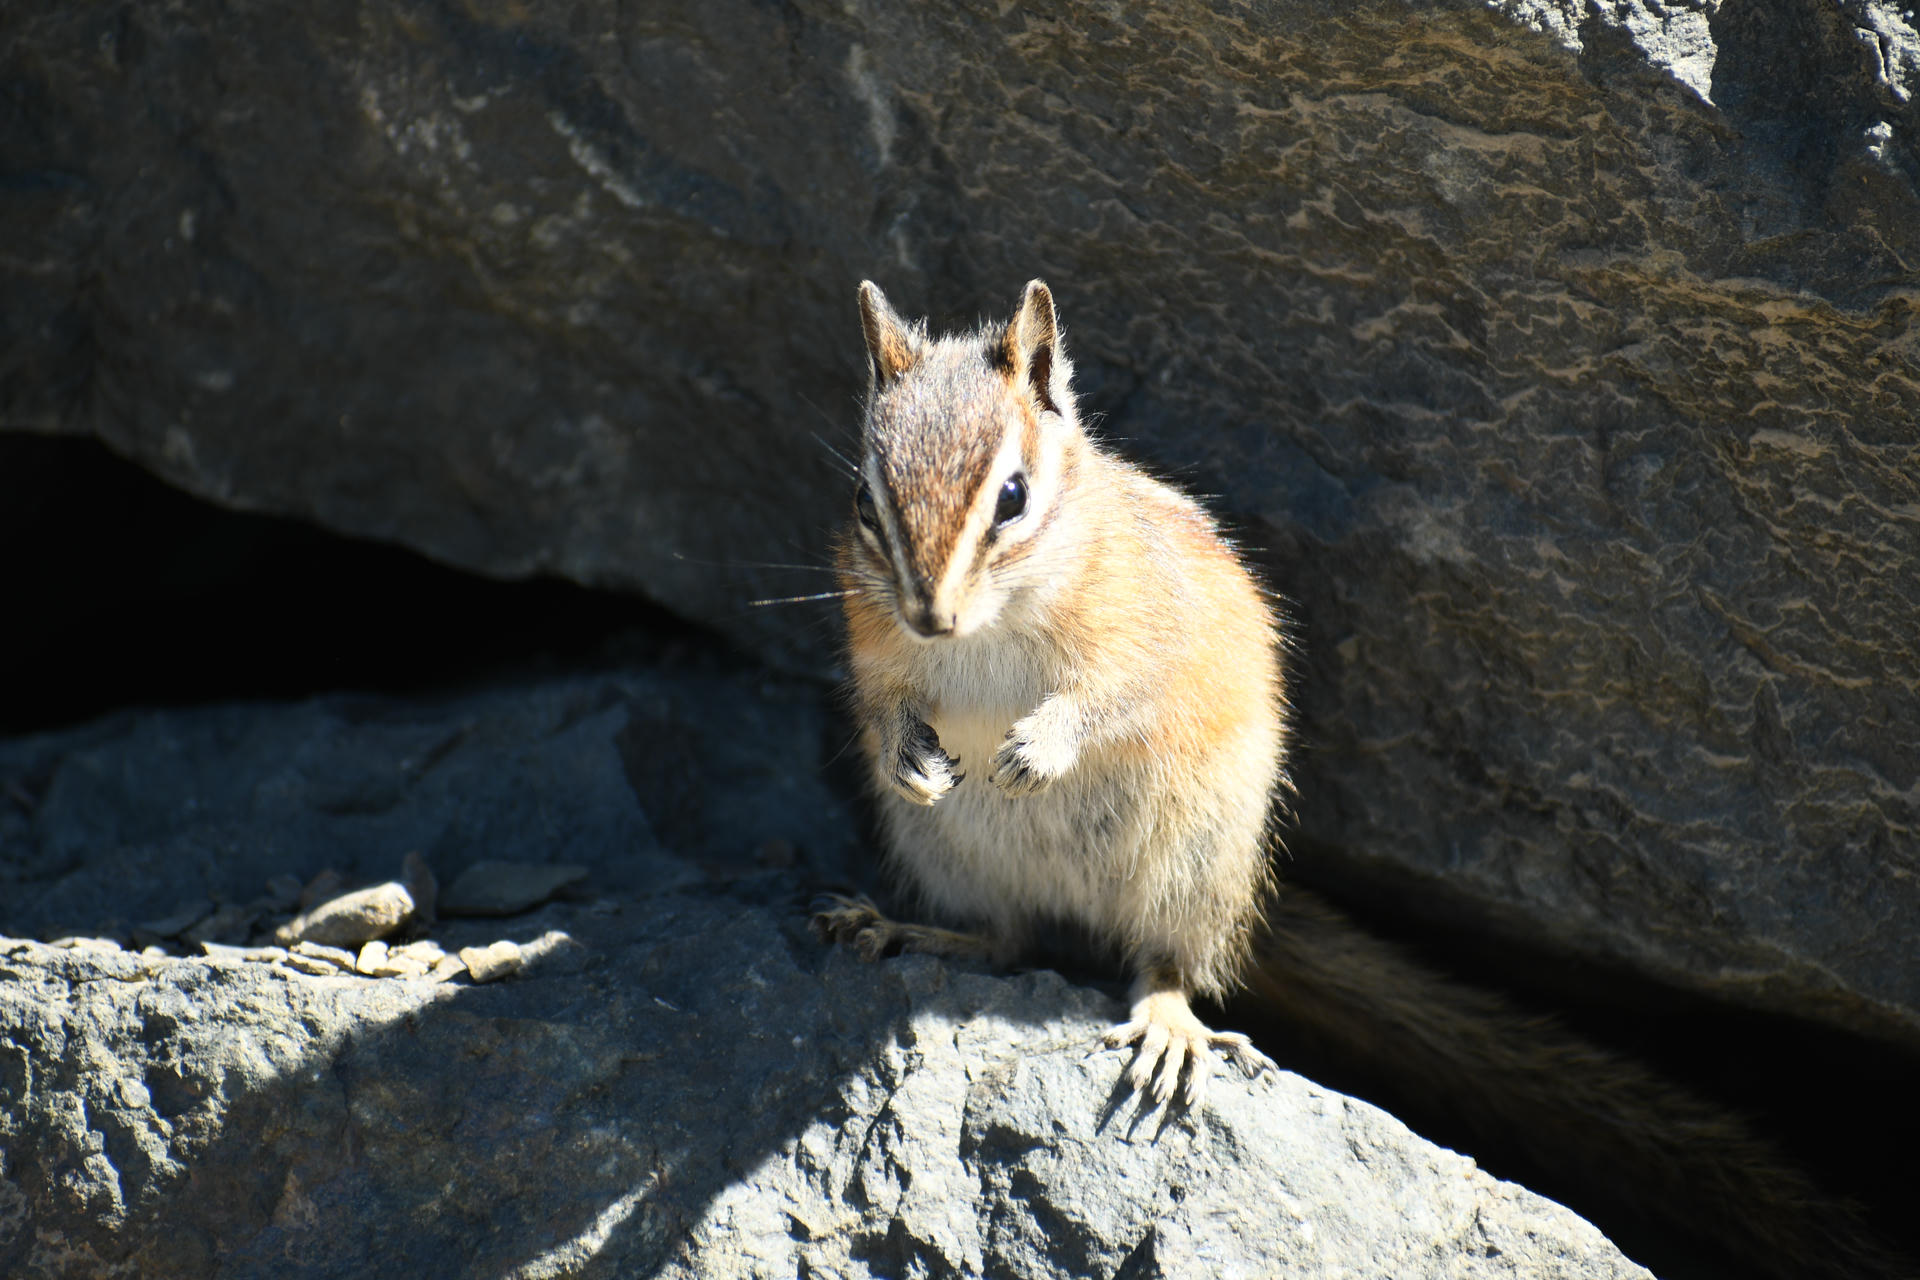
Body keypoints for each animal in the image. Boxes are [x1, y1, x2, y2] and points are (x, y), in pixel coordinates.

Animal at [811, 280, 1912, 1280]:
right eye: (865, 501)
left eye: (1011, 497)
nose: (930, 616)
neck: (987, 630)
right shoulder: (877, 650)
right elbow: (886, 702)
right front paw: (913, 757)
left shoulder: (1147, 635)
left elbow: (1115, 697)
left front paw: (1037, 749)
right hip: (957, 856)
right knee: (1007, 940)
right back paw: (904, 926)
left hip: (1192, 860)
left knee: (1165, 962)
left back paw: (1167, 1026)